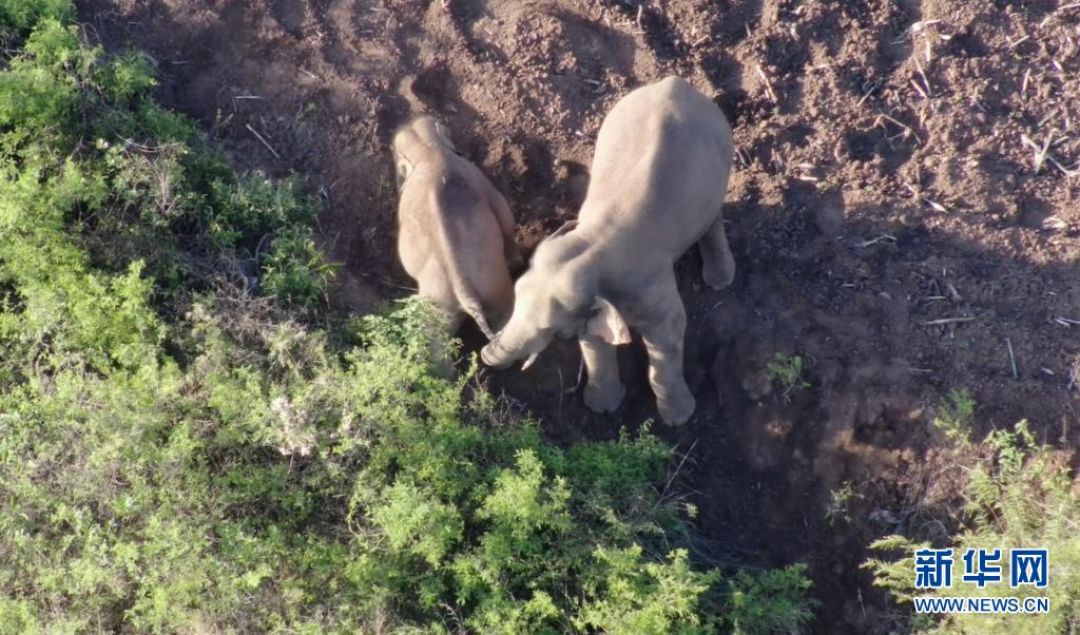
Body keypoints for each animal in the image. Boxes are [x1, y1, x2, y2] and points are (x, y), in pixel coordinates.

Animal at [390, 116, 524, 339]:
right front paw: (516, 262)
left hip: (442, 308)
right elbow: (505, 216)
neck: (428, 150)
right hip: (493, 287)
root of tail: (465, 293)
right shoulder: (479, 179)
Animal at [481, 76, 734, 427]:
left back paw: (720, 279)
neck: (589, 245)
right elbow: (594, 341)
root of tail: (676, 82)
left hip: (721, 157)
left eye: (547, 329)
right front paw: (601, 409)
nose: (484, 355)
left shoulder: (647, 285)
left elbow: (668, 333)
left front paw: (677, 420)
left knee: (713, 214)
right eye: (515, 296)